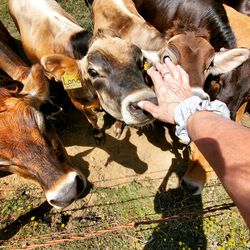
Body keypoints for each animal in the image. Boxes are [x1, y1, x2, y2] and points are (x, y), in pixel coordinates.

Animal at [8, 0, 157, 141]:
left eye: (140, 63)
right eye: (92, 72)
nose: (146, 103)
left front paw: (118, 126)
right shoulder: (78, 103)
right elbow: (92, 119)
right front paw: (98, 133)